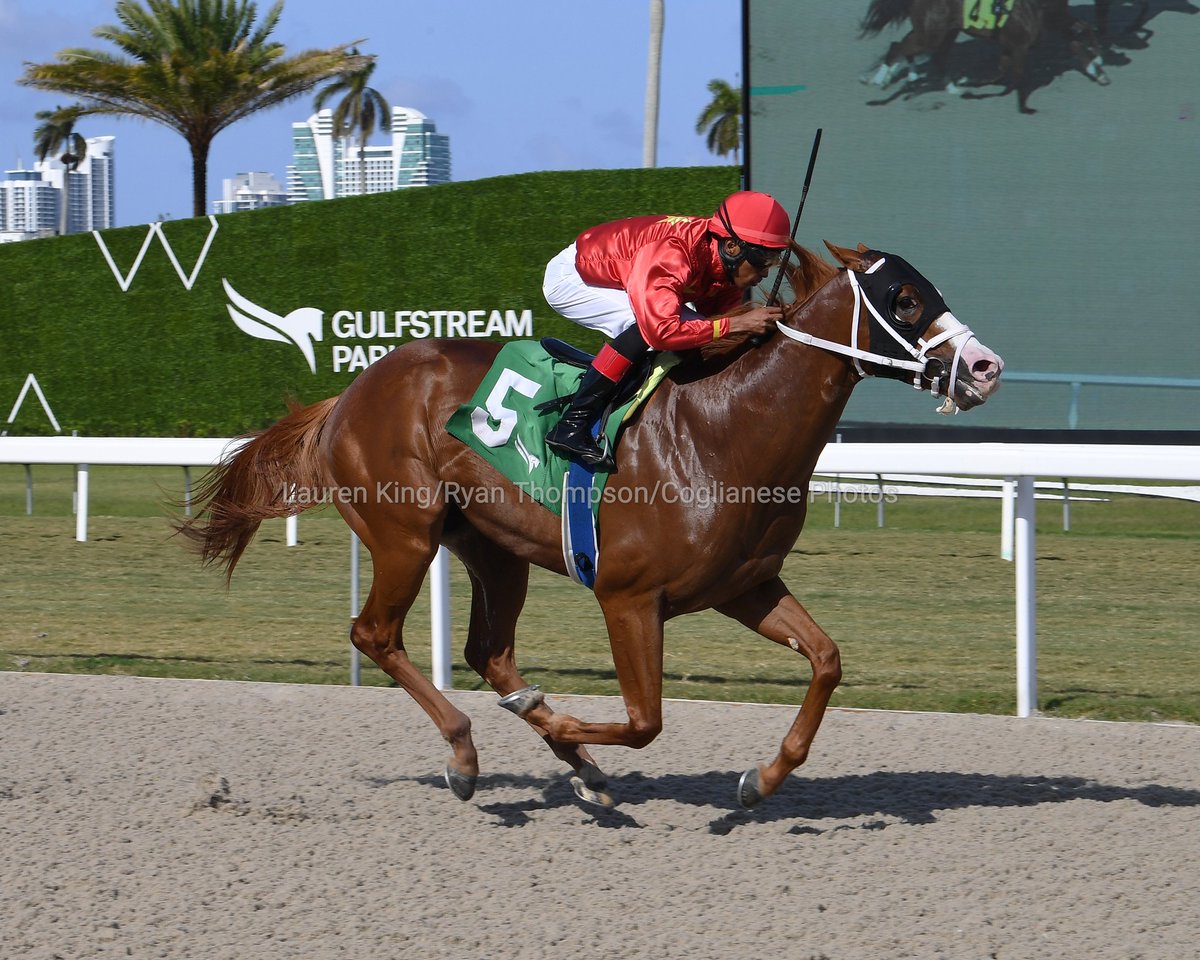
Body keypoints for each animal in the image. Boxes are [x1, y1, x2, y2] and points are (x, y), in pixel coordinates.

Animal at [177, 240, 1003, 811]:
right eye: (903, 299)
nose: (986, 366)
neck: (724, 429)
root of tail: (347, 394)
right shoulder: (627, 597)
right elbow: (644, 721)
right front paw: (572, 730)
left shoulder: (745, 586)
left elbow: (826, 660)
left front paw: (760, 780)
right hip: (405, 534)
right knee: (376, 634)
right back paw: (468, 755)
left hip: (493, 548)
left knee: (490, 653)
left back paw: (568, 758)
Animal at [859, 0, 1108, 112]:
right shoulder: (1019, 45)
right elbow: (1014, 75)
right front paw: (1024, 108)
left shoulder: (1046, 25)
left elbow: (1083, 31)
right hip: (930, 34)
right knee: (898, 48)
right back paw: (881, 82)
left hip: (943, 32)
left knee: (929, 55)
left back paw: (951, 88)